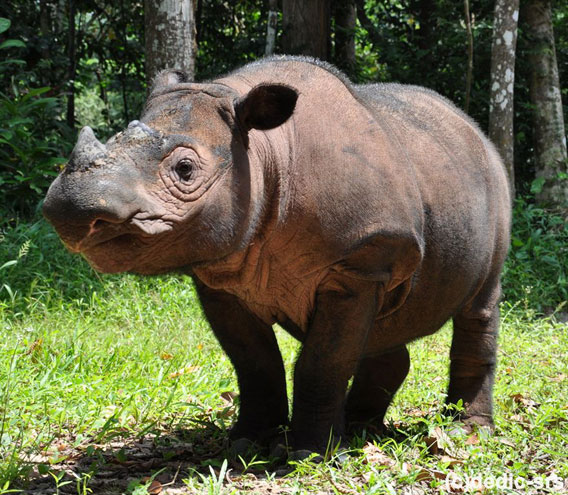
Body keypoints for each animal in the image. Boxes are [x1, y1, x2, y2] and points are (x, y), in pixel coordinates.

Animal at [43, 56, 510, 460]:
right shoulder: (221, 273)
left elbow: (324, 360)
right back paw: (362, 429)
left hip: (494, 183)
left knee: (480, 304)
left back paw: (465, 433)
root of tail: (474, 130)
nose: (72, 209)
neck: (265, 152)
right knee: (388, 326)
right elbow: (254, 362)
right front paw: (248, 443)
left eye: (186, 170)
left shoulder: (359, 263)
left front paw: (311, 453)